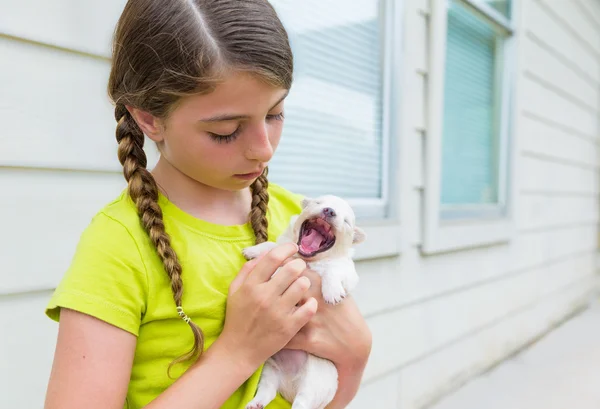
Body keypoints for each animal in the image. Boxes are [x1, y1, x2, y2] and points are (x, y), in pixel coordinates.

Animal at [240, 194, 364, 408]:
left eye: (347, 221)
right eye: (319, 203)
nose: (329, 211)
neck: (306, 259)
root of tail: (291, 385)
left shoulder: (347, 272)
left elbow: (333, 270)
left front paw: (332, 292)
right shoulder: (285, 246)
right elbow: (273, 246)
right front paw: (254, 250)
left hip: (313, 382)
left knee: (303, 402)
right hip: (270, 371)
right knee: (267, 391)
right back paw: (256, 403)